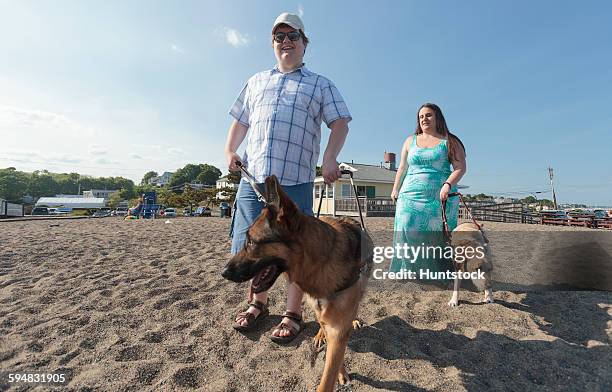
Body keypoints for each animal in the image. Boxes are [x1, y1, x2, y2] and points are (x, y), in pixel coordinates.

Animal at [221, 175, 372, 392]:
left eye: (251, 242)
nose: (223, 273)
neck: (319, 262)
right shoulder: (325, 315)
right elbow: (333, 356)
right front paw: (339, 368)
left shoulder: (339, 325)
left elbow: (329, 371)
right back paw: (320, 335)